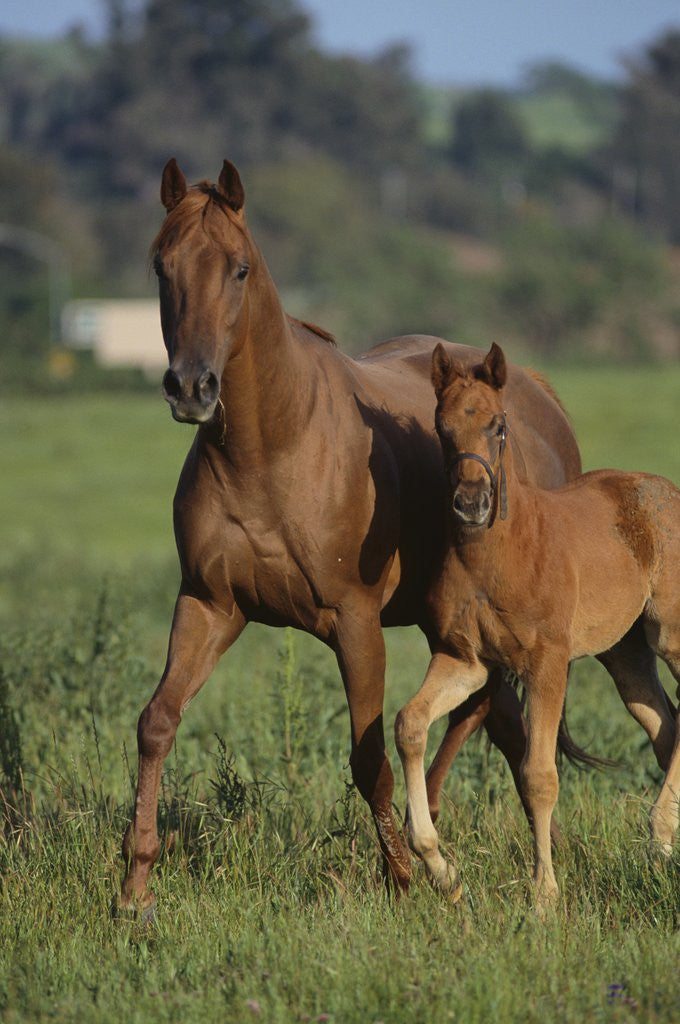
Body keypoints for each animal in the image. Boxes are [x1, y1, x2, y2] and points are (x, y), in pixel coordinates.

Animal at [119, 158, 585, 915]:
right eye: (162, 266)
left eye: (240, 269)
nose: (191, 387)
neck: (270, 447)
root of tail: (539, 395)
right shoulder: (210, 605)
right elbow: (157, 723)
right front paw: (134, 887)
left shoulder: (355, 622)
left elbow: (369, 757)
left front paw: (401, 878)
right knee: (500, 722)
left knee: (486, 716)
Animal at [395, 342, 680, 908]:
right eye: (441, 427)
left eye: (499, 424)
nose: (471, 504)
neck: (497, 555)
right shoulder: (465, 661)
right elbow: (410, 724)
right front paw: (441, 869)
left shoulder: (546, 663)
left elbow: (538, 776)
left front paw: (544, 895)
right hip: (626, 655)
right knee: (667, 724)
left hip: (672, 636)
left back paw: (658, 833)